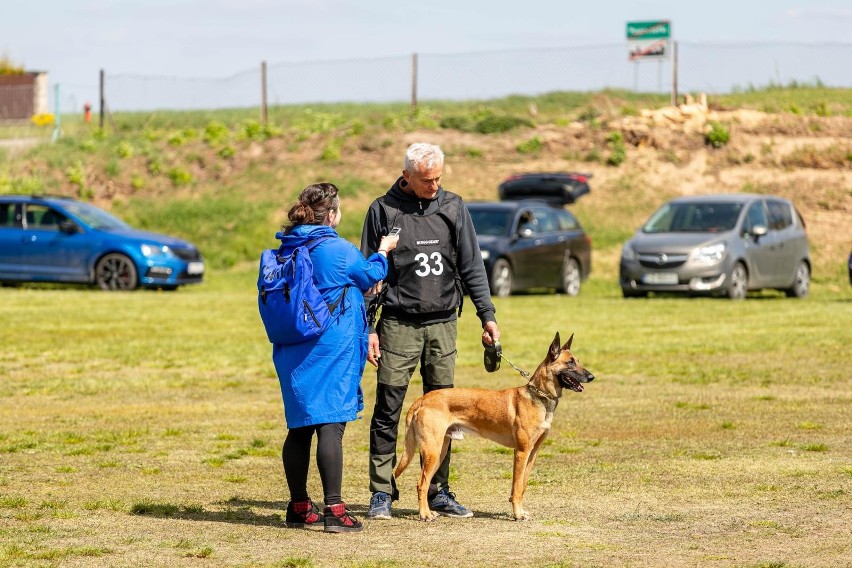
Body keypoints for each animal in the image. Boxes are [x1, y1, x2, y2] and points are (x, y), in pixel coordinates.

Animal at [392, 330, 592, 520]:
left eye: (577, 361)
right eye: (570, 363)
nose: (592, 376)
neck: (538, 396)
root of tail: (422, 399)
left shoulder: (532, 453)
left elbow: (522, 485)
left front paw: (520, 510)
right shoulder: (521, 452)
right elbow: (517, 487)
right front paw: (517, 514)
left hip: (439, 451)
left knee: (425, 483)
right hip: (432, 450)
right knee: (421, 483)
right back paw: (424, 515)